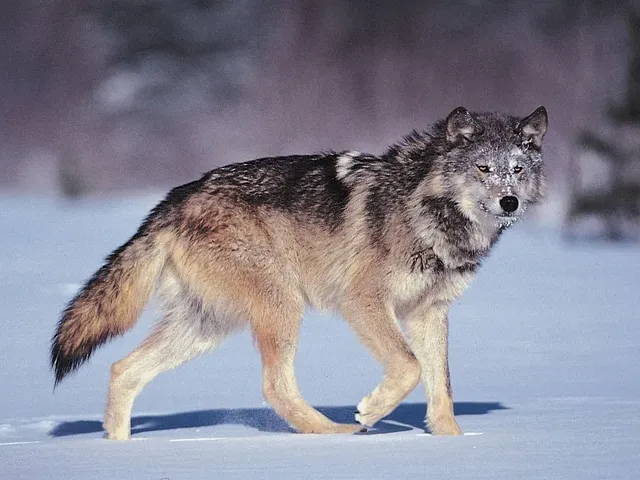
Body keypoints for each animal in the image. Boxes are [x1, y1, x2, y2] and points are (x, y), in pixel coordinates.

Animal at [51, 106, 548, 440]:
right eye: (483, 168)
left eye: (516, 170)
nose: (509, 202)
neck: (428, 213)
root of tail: (176, 198)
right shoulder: (363, 301)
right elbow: (408, 367)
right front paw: (370, 412)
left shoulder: (430, 311)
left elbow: (439, 384)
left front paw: (452, 443)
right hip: (281, 304)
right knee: (275, 387)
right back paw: (335, 434)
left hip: (206, 327)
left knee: (122, 369)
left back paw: (118, 449)